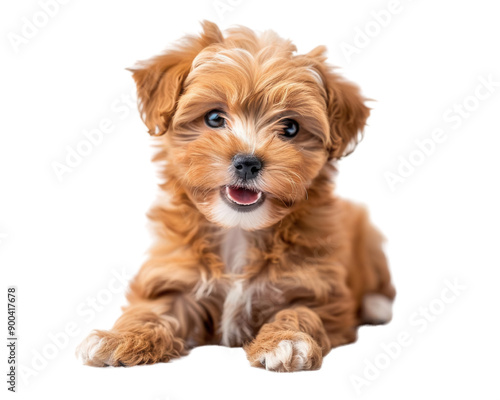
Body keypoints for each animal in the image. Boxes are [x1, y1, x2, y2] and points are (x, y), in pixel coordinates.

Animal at [75, 21, 394, 372]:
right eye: (214, 118)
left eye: (291, 127)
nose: (248, 162)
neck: (239, 231)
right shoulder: (175, 277)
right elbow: (154, 309)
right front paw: (120, 337)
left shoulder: (320, 290)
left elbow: (301, 311)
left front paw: (287, 340)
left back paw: (377, 305)